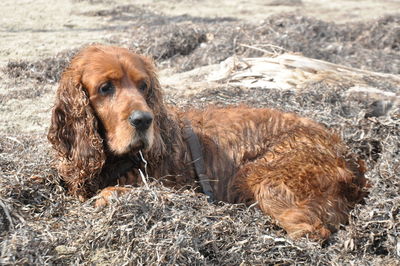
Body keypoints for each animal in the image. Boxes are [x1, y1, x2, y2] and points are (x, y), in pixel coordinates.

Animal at [48, 45, 368, 239]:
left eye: (144, 86)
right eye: (105, 88)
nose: (143, 120)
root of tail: (353, 162)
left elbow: (109, 193)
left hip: (260, 176)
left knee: (311, 230)